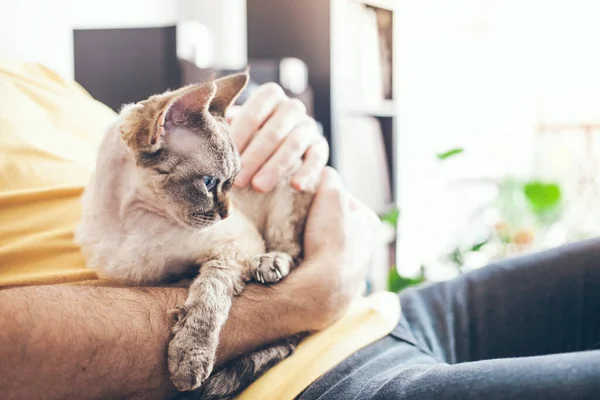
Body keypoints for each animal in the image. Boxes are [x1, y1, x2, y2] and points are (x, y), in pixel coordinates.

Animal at [75, 72, 314, 400]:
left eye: (232, 183)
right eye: (209, 183)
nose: (226, 213)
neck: (131, 221)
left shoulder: (233, 247)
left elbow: (207, 295)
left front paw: (188, 356)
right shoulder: (134, 278)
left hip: (283, 201)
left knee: (292, 251)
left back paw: (269, 263)